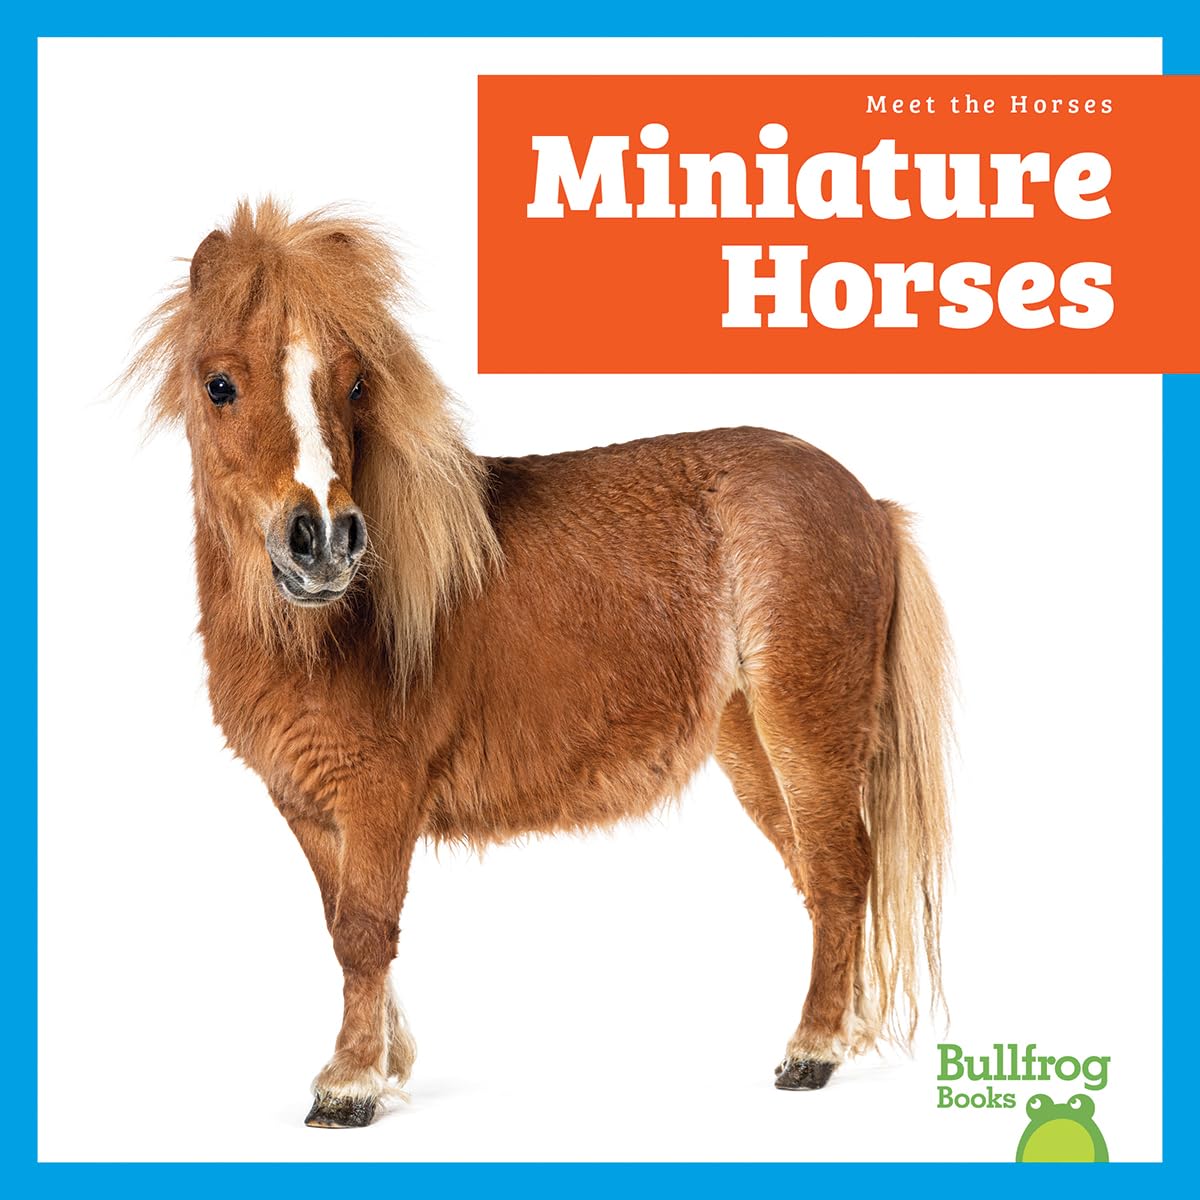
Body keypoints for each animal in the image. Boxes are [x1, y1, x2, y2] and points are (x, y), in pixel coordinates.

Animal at [127, 199, 951, 1129]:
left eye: (354, 384)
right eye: (219, 384)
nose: (325, 541)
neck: (330, 629)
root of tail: (868, 504)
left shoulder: (378, 797)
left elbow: (367, 931)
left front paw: (350, 1086)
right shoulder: (307, 806)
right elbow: (343, 928)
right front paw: (385, 1062)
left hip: (808, 727)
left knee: (843, 873)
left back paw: (810, 1052)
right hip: (751, 742)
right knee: (821, 877)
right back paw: (838, 1035)